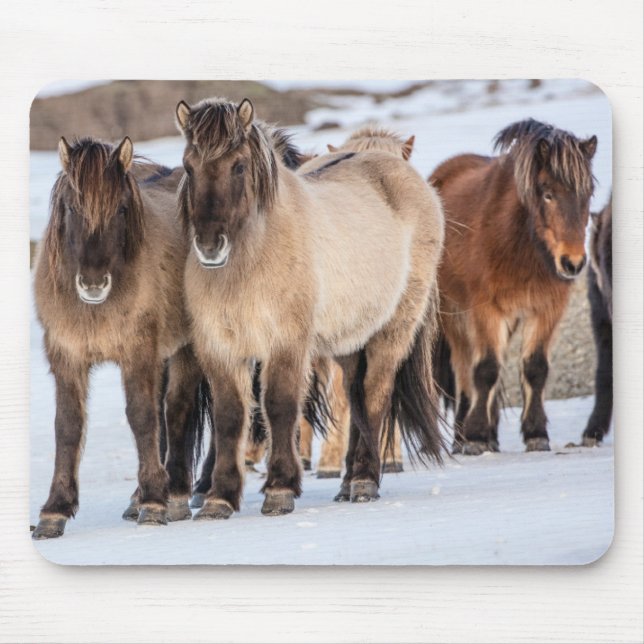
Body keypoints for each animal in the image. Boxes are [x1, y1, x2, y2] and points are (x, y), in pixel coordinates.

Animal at [32, 136, 210, 539]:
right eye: (71, 206)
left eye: (122, 209)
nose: (93, 283)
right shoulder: (67, 357)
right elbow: (67, 426)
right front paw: (54, 511)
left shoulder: (137, 354)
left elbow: (142, 418)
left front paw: (155, 504)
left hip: (185, 349)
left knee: (175, 410)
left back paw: (174, 494)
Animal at [176, 97, 446, 518]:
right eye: (189, 166)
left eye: (238, 165)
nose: (209, 245)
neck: (252, 259)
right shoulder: (220, 348)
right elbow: (230, 418)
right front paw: (219, 497)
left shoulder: (287, 343)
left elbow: (280, 406)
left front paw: (280, 489)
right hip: (350, 341)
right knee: (355, 396)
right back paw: (348, 482)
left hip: (393, 330)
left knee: (375, 395)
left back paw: (365, 480)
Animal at [431, 118, 598, 454]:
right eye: (547, 193)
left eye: (588, 192)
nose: (573, 263)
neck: (518, 244)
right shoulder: (485, 310)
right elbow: (485, 369)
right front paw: (475, 435)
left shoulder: (547, 309)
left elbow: (535, 368)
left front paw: (535, 433)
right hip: (454, 316)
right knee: (464, 370)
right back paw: (462, 438)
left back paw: (492, 438)